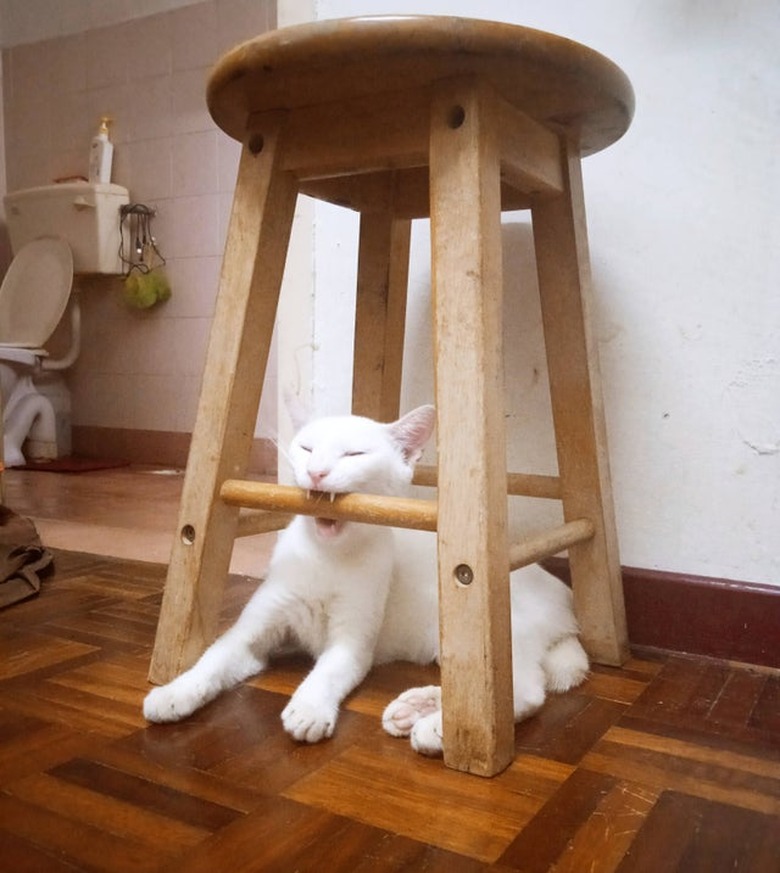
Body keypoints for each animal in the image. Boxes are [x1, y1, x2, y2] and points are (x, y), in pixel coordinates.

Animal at [143, 406, 588, 752]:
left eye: (353, 454)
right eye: (307, 448)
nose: (317, 472)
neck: (326, 557)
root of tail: (564, 600)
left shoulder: (351, 644)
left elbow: (327, 672)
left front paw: (309, 709)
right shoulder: (252, 632)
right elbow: (212, 660)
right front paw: (173, 692)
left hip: (488, 638)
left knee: (522, 692)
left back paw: (437, 729)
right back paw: (416, 711)